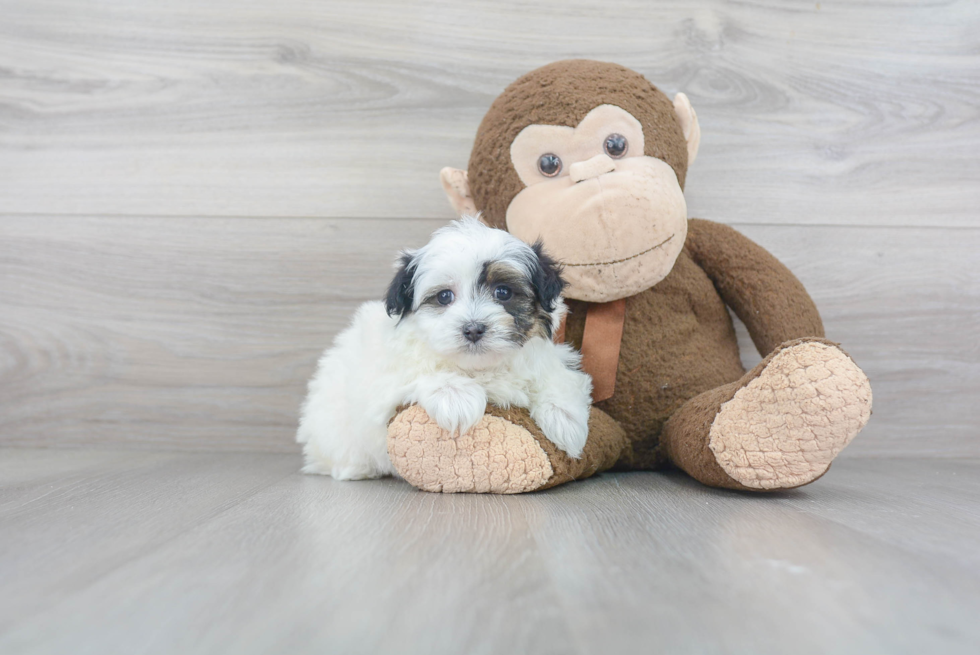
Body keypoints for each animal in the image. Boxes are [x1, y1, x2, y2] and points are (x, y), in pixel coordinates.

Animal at [296, 218, 588, 480]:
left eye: (503, 292)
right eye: (444, 296)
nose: (473, 329)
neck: (479, 368)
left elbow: (558, 378)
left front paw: (567, 420)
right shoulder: (382, 380)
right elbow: (418, 374)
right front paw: (456, 397)